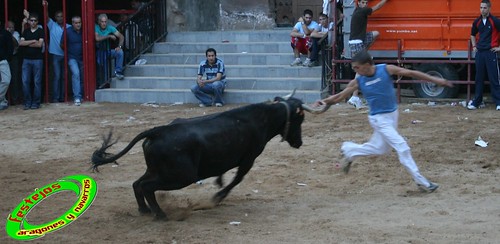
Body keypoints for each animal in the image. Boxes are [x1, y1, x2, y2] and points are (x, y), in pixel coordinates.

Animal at [92, 95, 330, 219]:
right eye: (300, 119)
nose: (299, 142)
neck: (263, 118)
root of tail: (158, 131)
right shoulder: (249, 158)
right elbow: (237, 178)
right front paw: (218, 196)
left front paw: (218, 184)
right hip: (181, 176)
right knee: (146, 186)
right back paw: (160, 215)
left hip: (157, 170)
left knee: (137, 184)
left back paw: (144, 210)